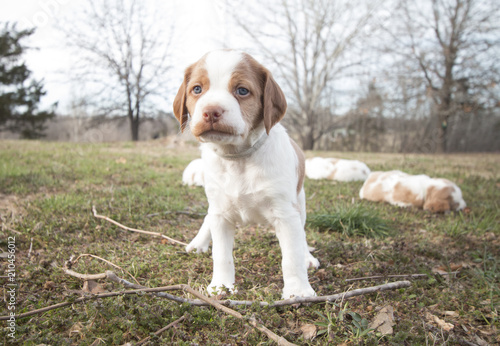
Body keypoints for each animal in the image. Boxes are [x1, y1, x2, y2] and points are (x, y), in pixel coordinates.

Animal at [174, 50, 318, 298]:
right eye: (197, 89)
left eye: (242, 91)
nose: (211, 111)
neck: (238, 159)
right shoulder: (220, 213)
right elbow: (221, 255)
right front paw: (221, 286)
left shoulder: (286, 214)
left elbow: (292, 256)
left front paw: (298, 291)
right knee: (208, 218)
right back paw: (199, 242)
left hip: (299, 202)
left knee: (301, 233)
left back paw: (307, 257)